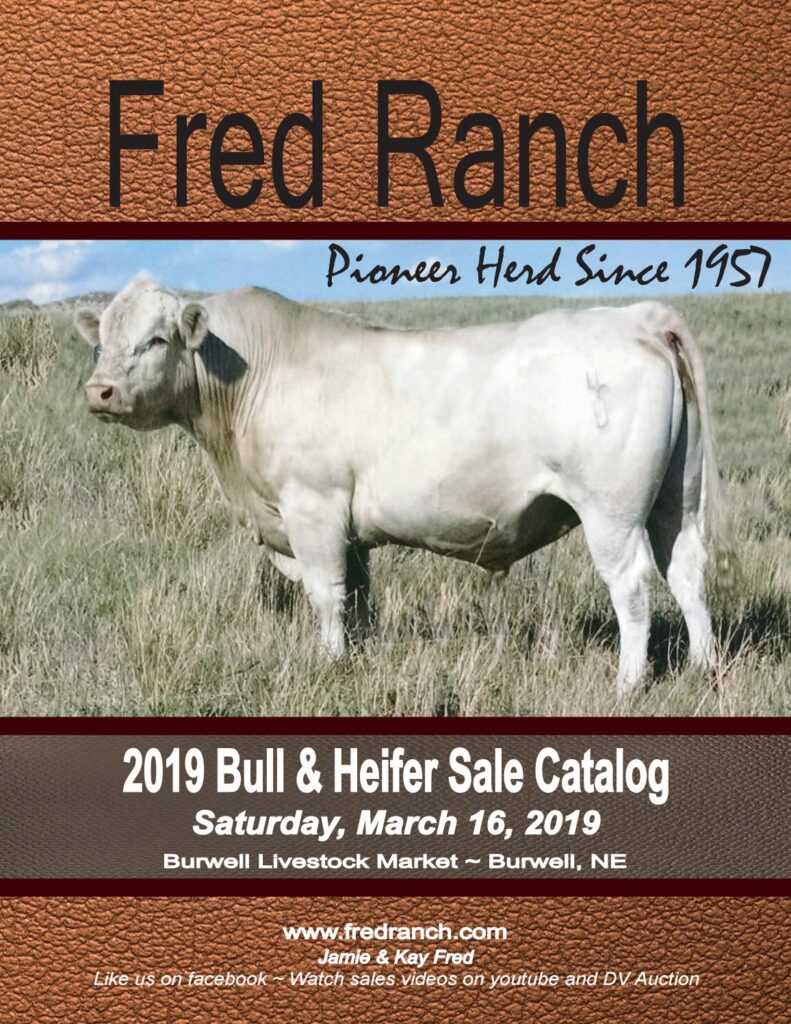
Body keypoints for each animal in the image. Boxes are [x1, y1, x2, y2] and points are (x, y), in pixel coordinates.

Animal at [75, 275, 726, 696]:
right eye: (101, 337)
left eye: (156, 339)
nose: (99, 390)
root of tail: (633, 315)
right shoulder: (347, 526)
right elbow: (358, 593)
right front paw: (357, 655)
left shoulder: (312, 505)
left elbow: (326, 592)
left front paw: (329, 662)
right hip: (676, 497)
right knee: (686, 569)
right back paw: (701, 667)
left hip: (610, 510)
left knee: (633, 585)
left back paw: (628, 682)